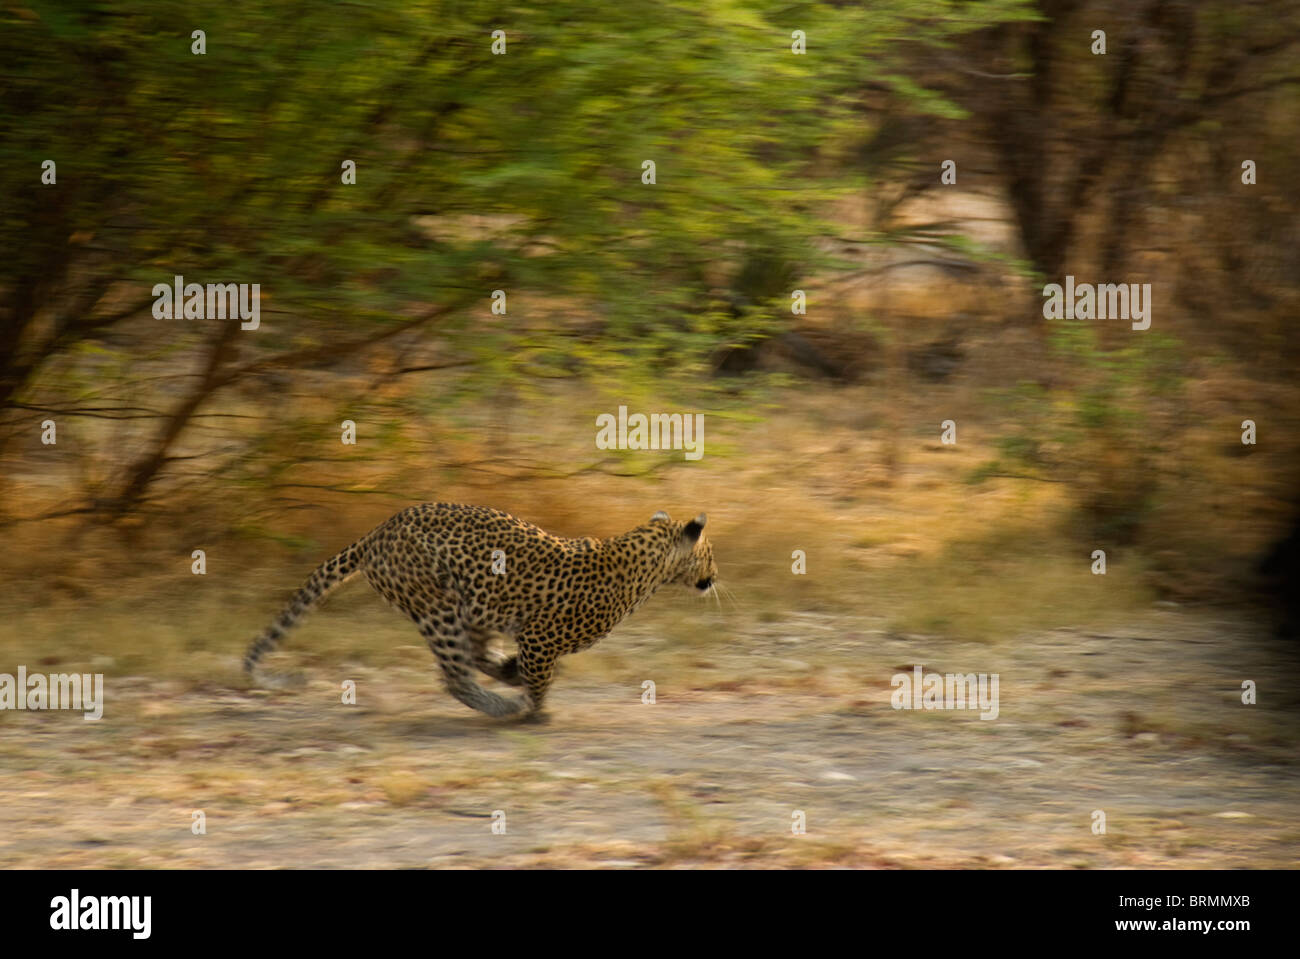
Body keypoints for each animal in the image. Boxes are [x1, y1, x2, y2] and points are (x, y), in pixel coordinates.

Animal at [243, 503, 717, 719]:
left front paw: (520, 681)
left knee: (473, 656)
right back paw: (502, 705)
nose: (715, 576)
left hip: (469, 603)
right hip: (435, 606)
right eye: (710, 554)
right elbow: (539, 681)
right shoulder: (539, 638)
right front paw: (537, 710)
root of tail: (377, 532)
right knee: (456, 674)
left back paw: (505, 678)